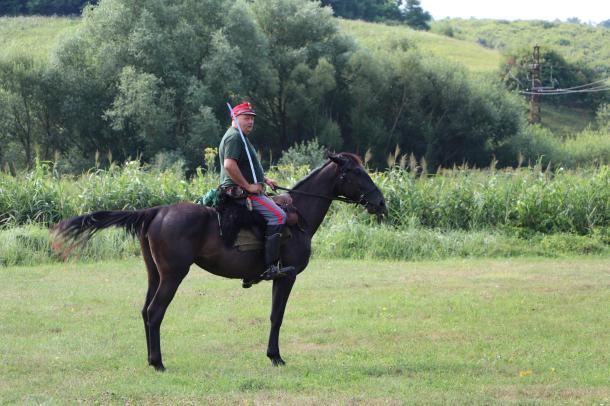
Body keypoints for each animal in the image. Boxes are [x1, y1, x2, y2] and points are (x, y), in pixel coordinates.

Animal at [53, 153, 384, 372]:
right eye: (356, 172)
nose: (380, 202)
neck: (298, 214)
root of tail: (156, 211)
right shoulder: (285, 277)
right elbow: (277, 317)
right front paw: (275, 357)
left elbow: (274, 316)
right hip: (173, 276)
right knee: (156, 312)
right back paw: (158, 363)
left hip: (154, 275)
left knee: (145, 311)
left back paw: (150, 360)